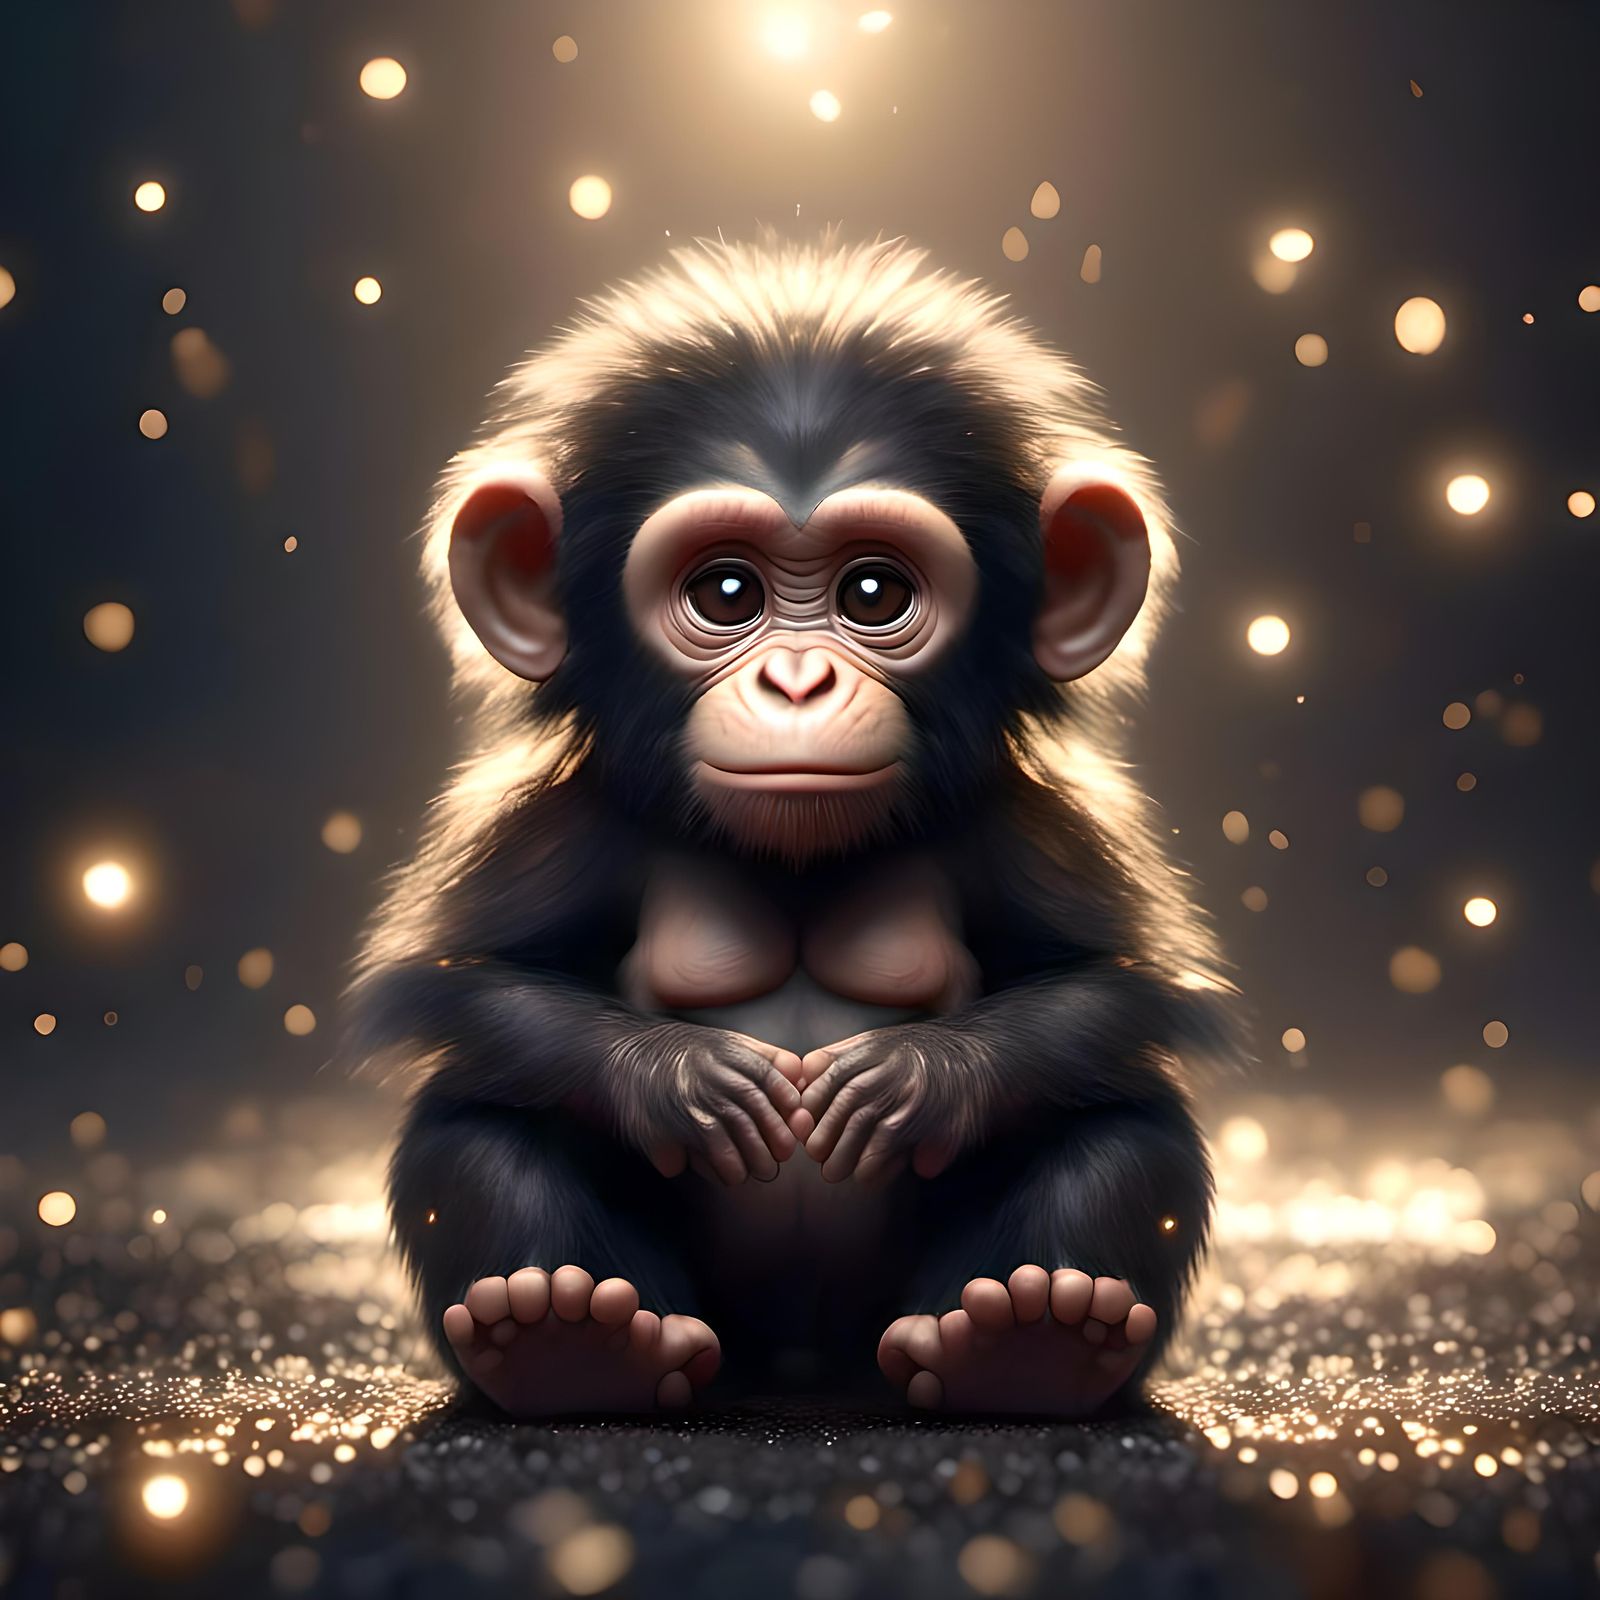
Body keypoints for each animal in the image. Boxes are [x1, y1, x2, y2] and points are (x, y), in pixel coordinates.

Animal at [347, 235, 1237, 1419]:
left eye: (873, 592)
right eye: (726, 592)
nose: (800, 680)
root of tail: (800, 1364)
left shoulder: (1031, 828)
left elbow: (1124, 984)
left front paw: (917, 1079)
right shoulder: (564, 829)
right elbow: (458, 979)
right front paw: (680, 1080)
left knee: (1132, 1132)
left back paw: (1027, 1342)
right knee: (469, 1129)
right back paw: (569, 1342)